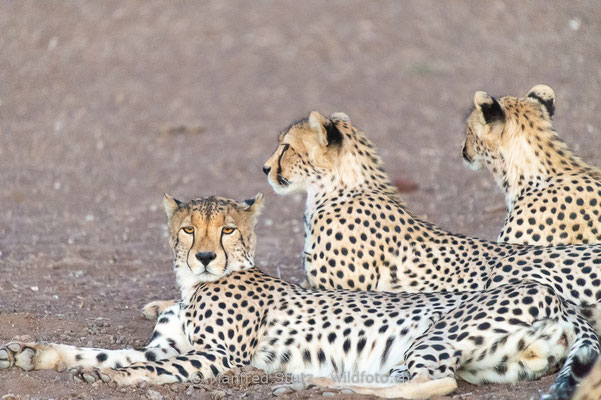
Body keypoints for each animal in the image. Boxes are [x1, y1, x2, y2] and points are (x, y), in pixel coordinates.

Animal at [0, 195, 596, 398]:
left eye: (228, 230)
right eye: (190, 229)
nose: (206, 257)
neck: (192, 287)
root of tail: (561, 300)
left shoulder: (217, 357)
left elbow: (146, 368)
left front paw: (116, 379)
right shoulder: (167, 345)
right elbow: (100, 351)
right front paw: (30, 353)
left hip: (436, 334)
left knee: (434, 381)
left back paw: (316, 383)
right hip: (490, 360)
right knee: (425, 379)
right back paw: (314, 380)